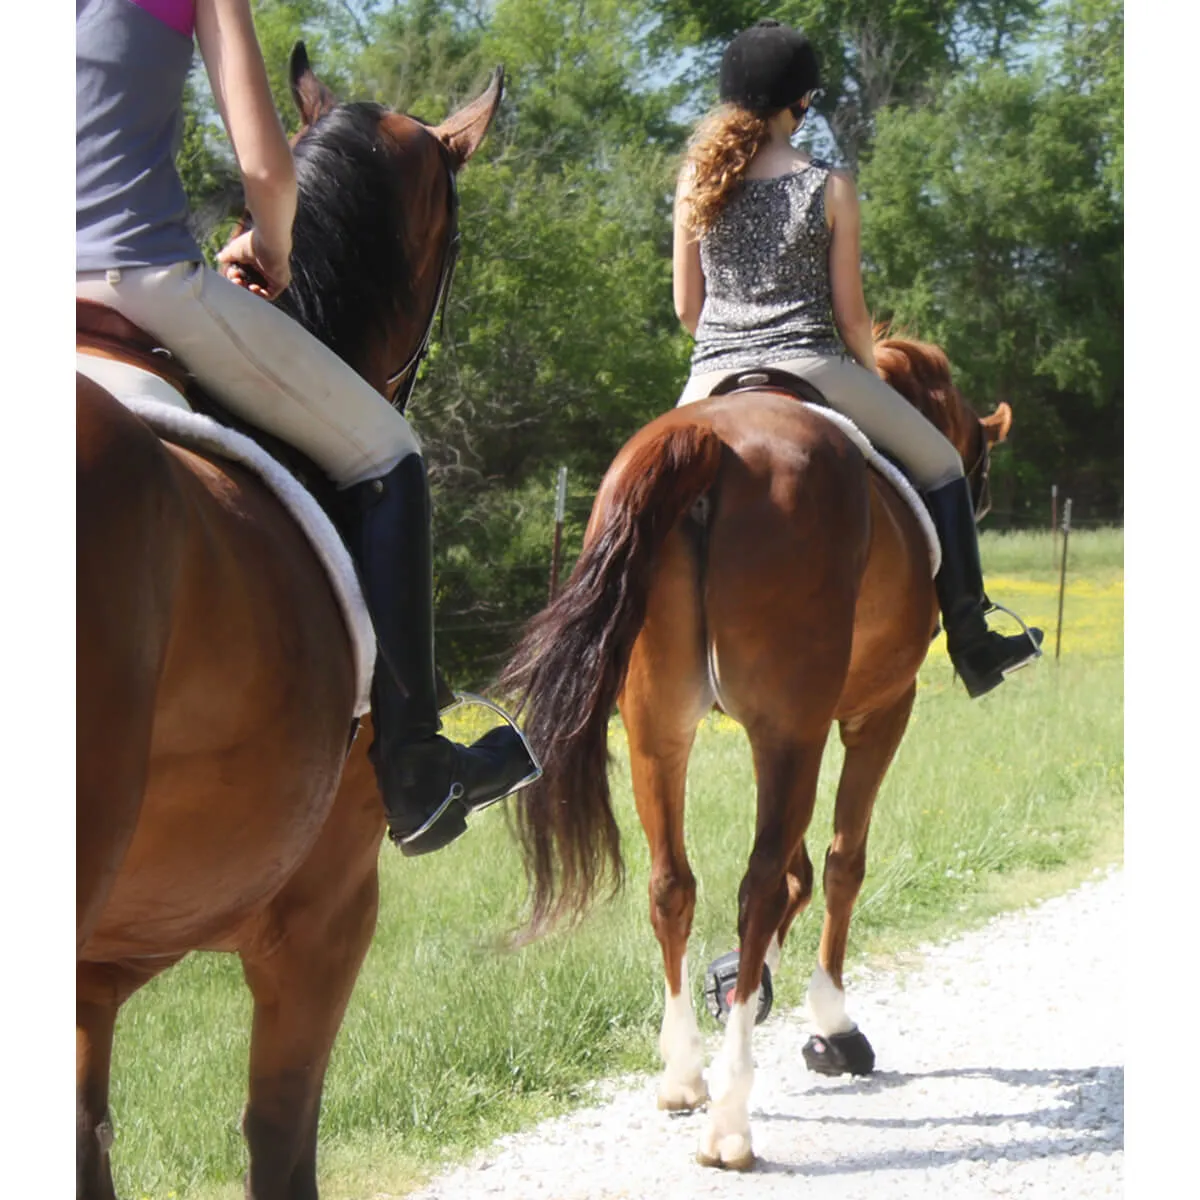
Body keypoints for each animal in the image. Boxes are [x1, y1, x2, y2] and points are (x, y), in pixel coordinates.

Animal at [500, 336, 1011, 1170]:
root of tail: (707, 443)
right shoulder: (874, 712)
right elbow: (838, 863)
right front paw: (831, 1027)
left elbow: (798, 869)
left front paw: (741, 984)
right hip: (791, 728)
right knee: (761, 885)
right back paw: (732, 1122)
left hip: (661, 729)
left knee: (674, 884)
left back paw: (684, 1076)